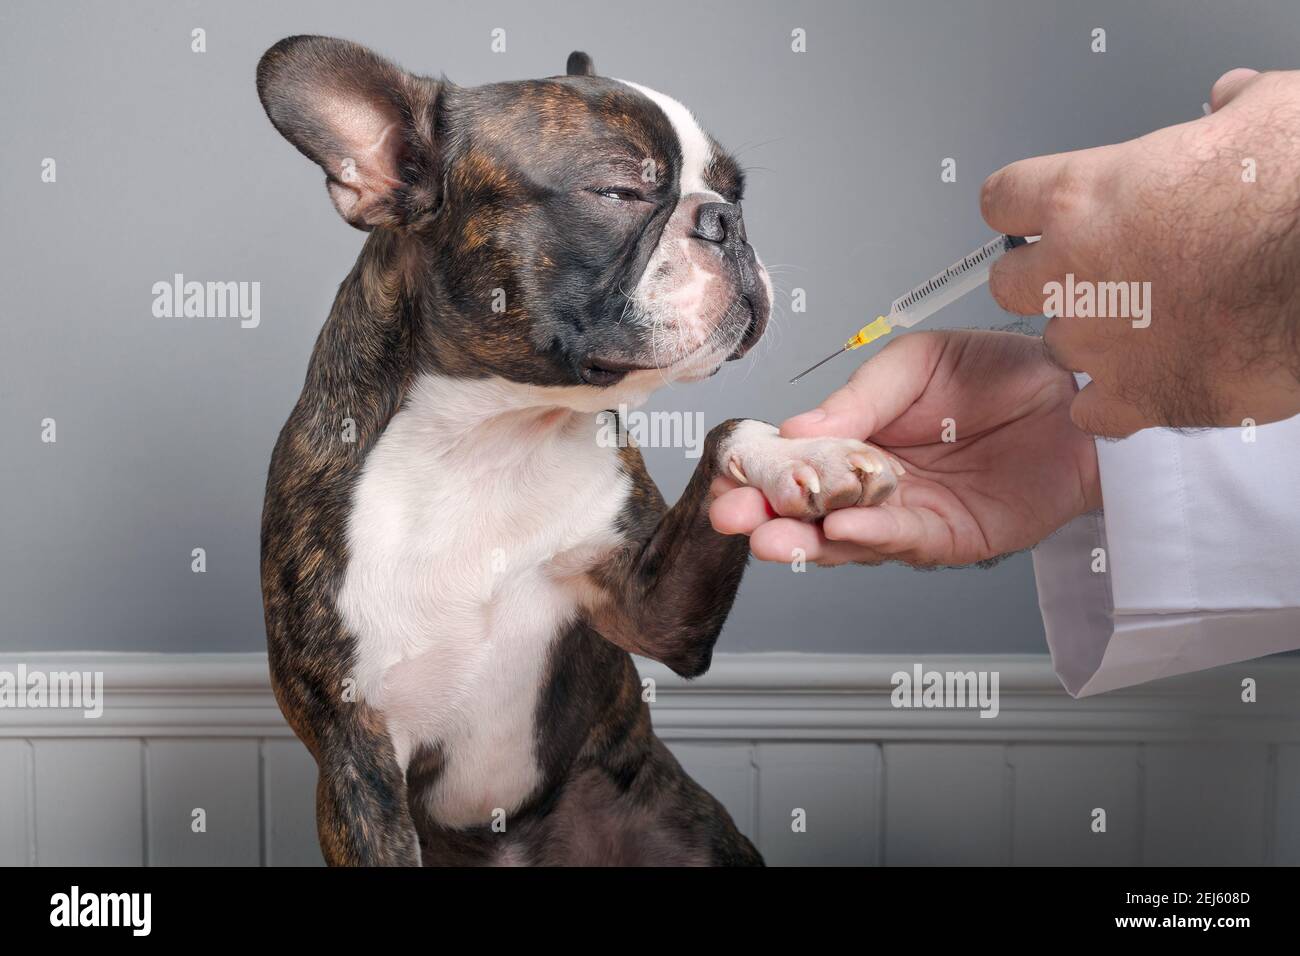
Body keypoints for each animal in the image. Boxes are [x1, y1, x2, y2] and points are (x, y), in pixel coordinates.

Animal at [257, 35, 899, 868]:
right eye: (618, 191)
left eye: (736, 191)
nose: (728, 220)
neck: (492, 435)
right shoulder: (354, 756)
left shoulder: (651, 612)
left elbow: (725, 433)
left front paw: (801, 456)